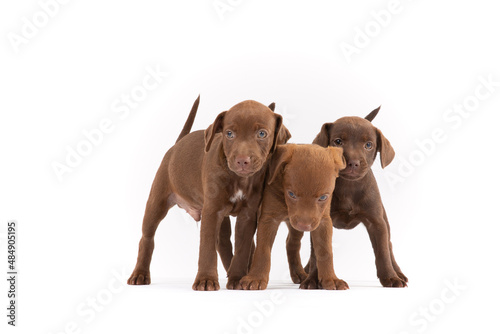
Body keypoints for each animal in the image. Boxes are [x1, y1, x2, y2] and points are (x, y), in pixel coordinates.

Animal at [127, 98, 288, 290]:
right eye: (229, 134)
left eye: (262, 134)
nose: (242, 160)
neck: (239, 179)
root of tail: (177, 145)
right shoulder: (212, 212)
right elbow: (207, 248)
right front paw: (206, 280)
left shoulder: (247, 216)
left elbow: (242, 249)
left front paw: (237, 278)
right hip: (156, 202)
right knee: (147, 238)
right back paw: (139, 274)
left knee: (224, 242)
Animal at [238, 145, 348, 290]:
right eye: (291, 194)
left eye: (323, 197)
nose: (304, 226)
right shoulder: (269, 219)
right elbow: (263, 250)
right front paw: (255, 278)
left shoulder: (323, 220)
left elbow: (325, 251)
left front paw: (331, 279)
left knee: (291, 243)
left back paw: (298, 272)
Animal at [288, 106, 408, 288]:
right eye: (338, 141)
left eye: (368, 145)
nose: (352, 162)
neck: (348, 186)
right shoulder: (320, 220)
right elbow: (318, 253)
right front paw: (313, 279)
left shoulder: (376, 223)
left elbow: (382, 252)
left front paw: (390, 277)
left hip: (384, 220)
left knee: (389, 246)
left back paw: (398, 273)